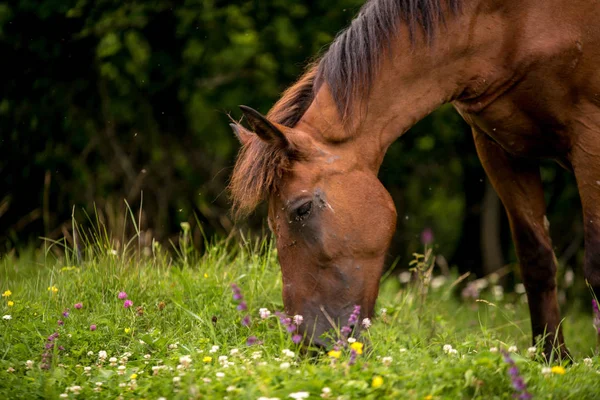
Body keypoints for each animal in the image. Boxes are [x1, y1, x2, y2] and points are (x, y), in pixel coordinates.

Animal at [230, 0, 600, 360]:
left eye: (303, 209)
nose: (311, 346)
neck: (512, 24)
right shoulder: (499, 148)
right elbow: (536, 260)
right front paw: (553, 360)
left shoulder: (589, 137)